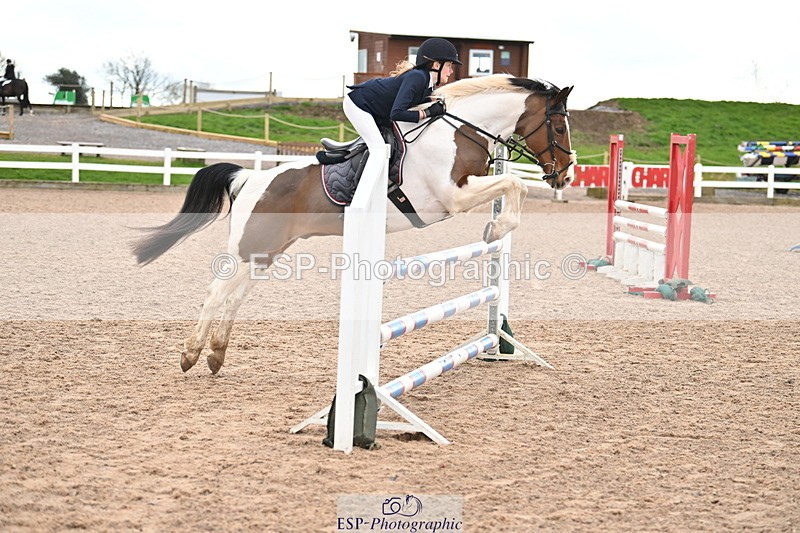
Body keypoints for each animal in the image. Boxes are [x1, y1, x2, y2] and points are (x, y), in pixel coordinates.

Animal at [132, 74, 575, 375]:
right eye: (557, 126)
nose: (565, 176)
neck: (458, 130)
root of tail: (248, 178)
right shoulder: (451, 197)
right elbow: (516, 182)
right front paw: (496, 230)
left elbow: (515, 184)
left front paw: (497, 228)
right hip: (248, 249)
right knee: (215, 293)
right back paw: (191, 355)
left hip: (265, 253)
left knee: (235, 297)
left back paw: (216, 355)